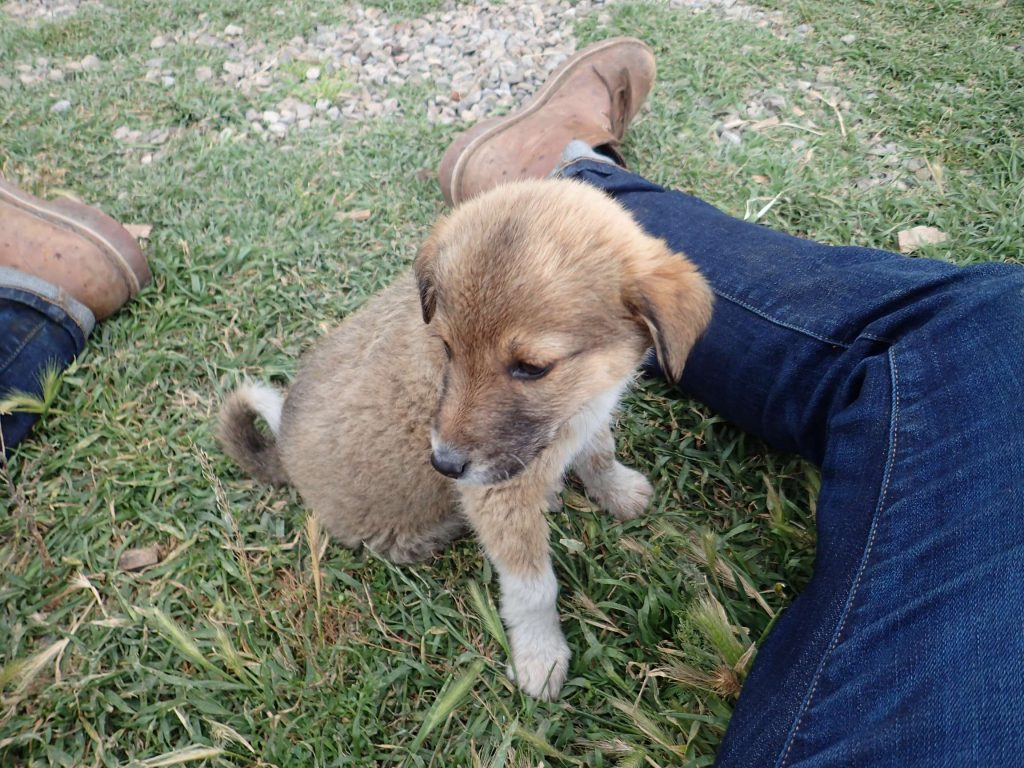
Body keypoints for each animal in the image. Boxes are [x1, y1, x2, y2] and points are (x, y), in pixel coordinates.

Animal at [216, 177, 712, 700]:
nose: (444, 465)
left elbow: (599, 453)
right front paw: (540, 656)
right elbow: (534, 589)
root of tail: (282, 452)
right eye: (447, 347)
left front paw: (617, 491)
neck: (570, 408)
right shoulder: (498, 497)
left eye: (532, 368)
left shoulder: (587, 413)